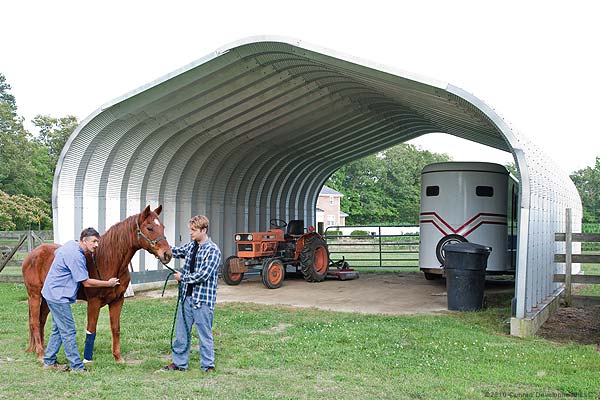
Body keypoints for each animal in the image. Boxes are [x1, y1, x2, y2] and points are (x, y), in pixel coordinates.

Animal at [21, 206, 171, 362]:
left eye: (163, 227)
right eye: (149, 228)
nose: (167, 254)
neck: (106, 261)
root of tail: (31, 255)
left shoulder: (117, 301)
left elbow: (115, 328)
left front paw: (118, 357)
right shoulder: (94, 302)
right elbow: (91, 329)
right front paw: (87, 359)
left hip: (46, 298)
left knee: (41, 320)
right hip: (34, 295)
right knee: (35, 322)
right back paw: (40, 353)